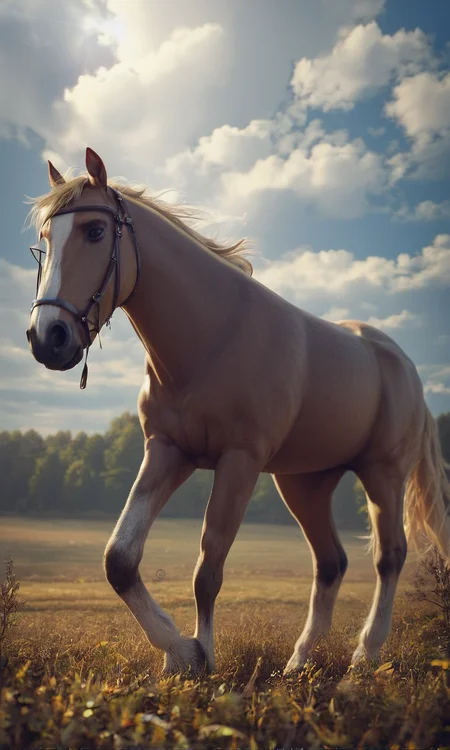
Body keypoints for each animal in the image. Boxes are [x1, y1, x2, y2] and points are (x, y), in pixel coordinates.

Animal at [26, 147, 450, 676]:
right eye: (44, 241)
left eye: (95, 231)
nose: (48, 337)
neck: (213, 337)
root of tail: (403, 364)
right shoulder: (167, 452)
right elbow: (119, 558)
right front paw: (179, 653)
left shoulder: (239, 461)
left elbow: (208, 568)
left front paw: (203, 656)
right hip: (305, 484)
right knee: (330, 562)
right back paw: (298, 663)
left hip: (382, 474)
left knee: (389, 557)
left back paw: (364, 656)